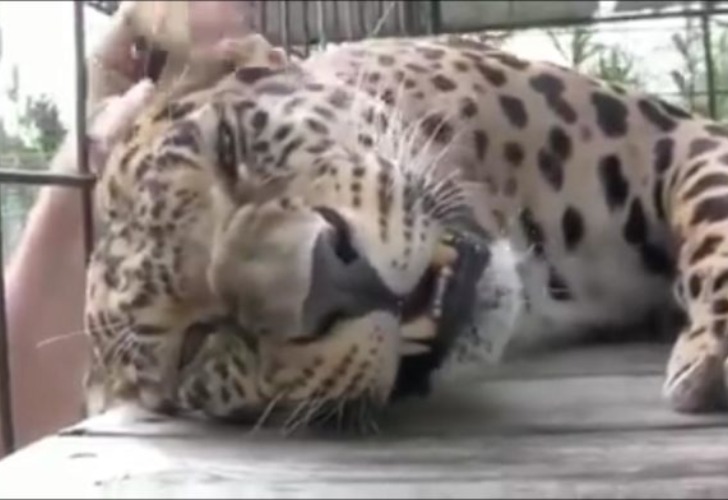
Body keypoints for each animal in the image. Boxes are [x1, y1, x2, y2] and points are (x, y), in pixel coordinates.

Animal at [85, 4, 728, 434]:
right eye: (195, 344)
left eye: (227, 146)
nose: (331, 278)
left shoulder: (676, 136)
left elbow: (714, 217)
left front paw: (710, 354)